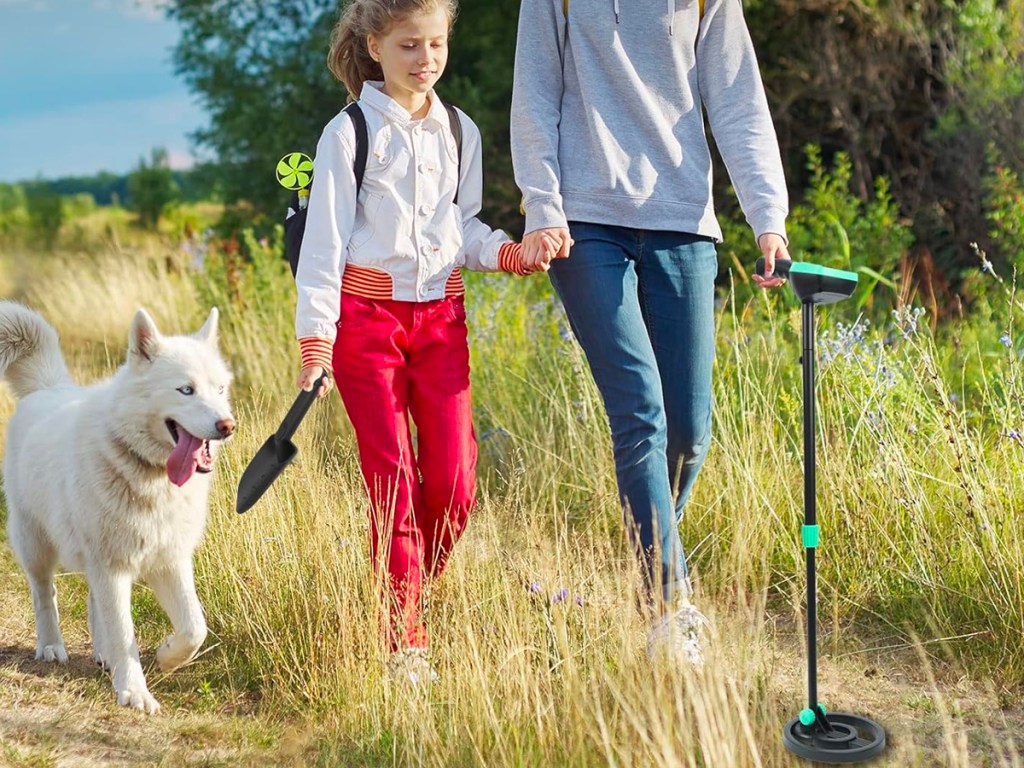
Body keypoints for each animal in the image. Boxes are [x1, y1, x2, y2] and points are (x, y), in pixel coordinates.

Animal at [0, 303, 234, 716]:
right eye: (185, 390)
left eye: (220, 389)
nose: (227, 425)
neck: (150, 474)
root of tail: (48, 387)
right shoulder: (112, 566)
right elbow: (124, 630)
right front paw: (135, 692)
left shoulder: (169, 561)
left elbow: (194, 627)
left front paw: (167, 656)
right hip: (37, 545)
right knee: (45, 594)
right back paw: (51, 645)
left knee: (93, 602)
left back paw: (103, 654)